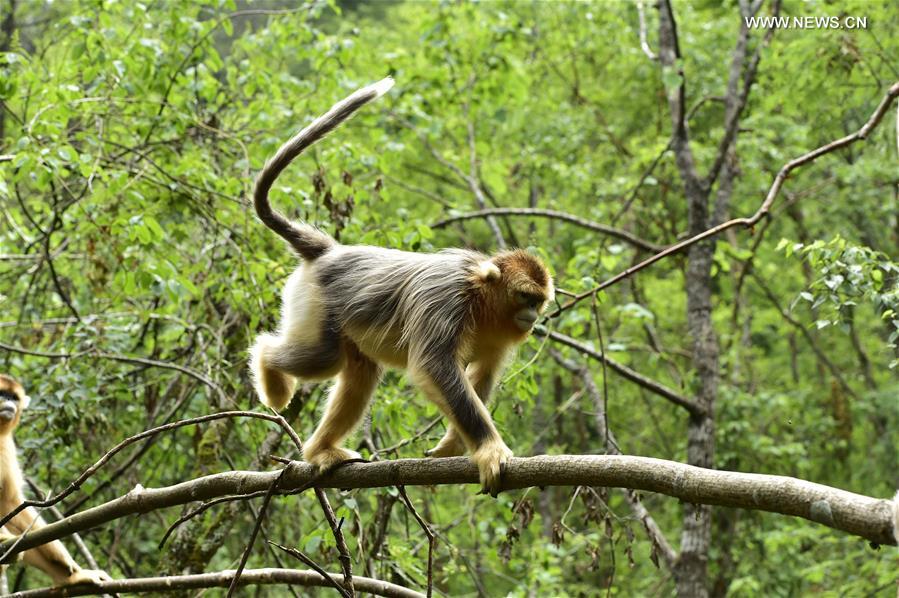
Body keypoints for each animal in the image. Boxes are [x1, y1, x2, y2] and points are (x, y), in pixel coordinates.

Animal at [0, 378, 111, 588]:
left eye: (14, 397)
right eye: (2, 394)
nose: (9, 403)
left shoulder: (6, 445)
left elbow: (10, 502)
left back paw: (70, 578)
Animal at [250, 77, 552, 494]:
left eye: (538, 302)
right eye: (524, 296)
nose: (531, 317)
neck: (479, 296)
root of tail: (330, 251)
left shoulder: (497, 339)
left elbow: (480, 378)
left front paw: (453, 447)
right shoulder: (446, 300)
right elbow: (434, 367)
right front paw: (490, 451)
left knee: (360, 373)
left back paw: (320, 451)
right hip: (315, 302)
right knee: (315, 355)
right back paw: (270, 372)